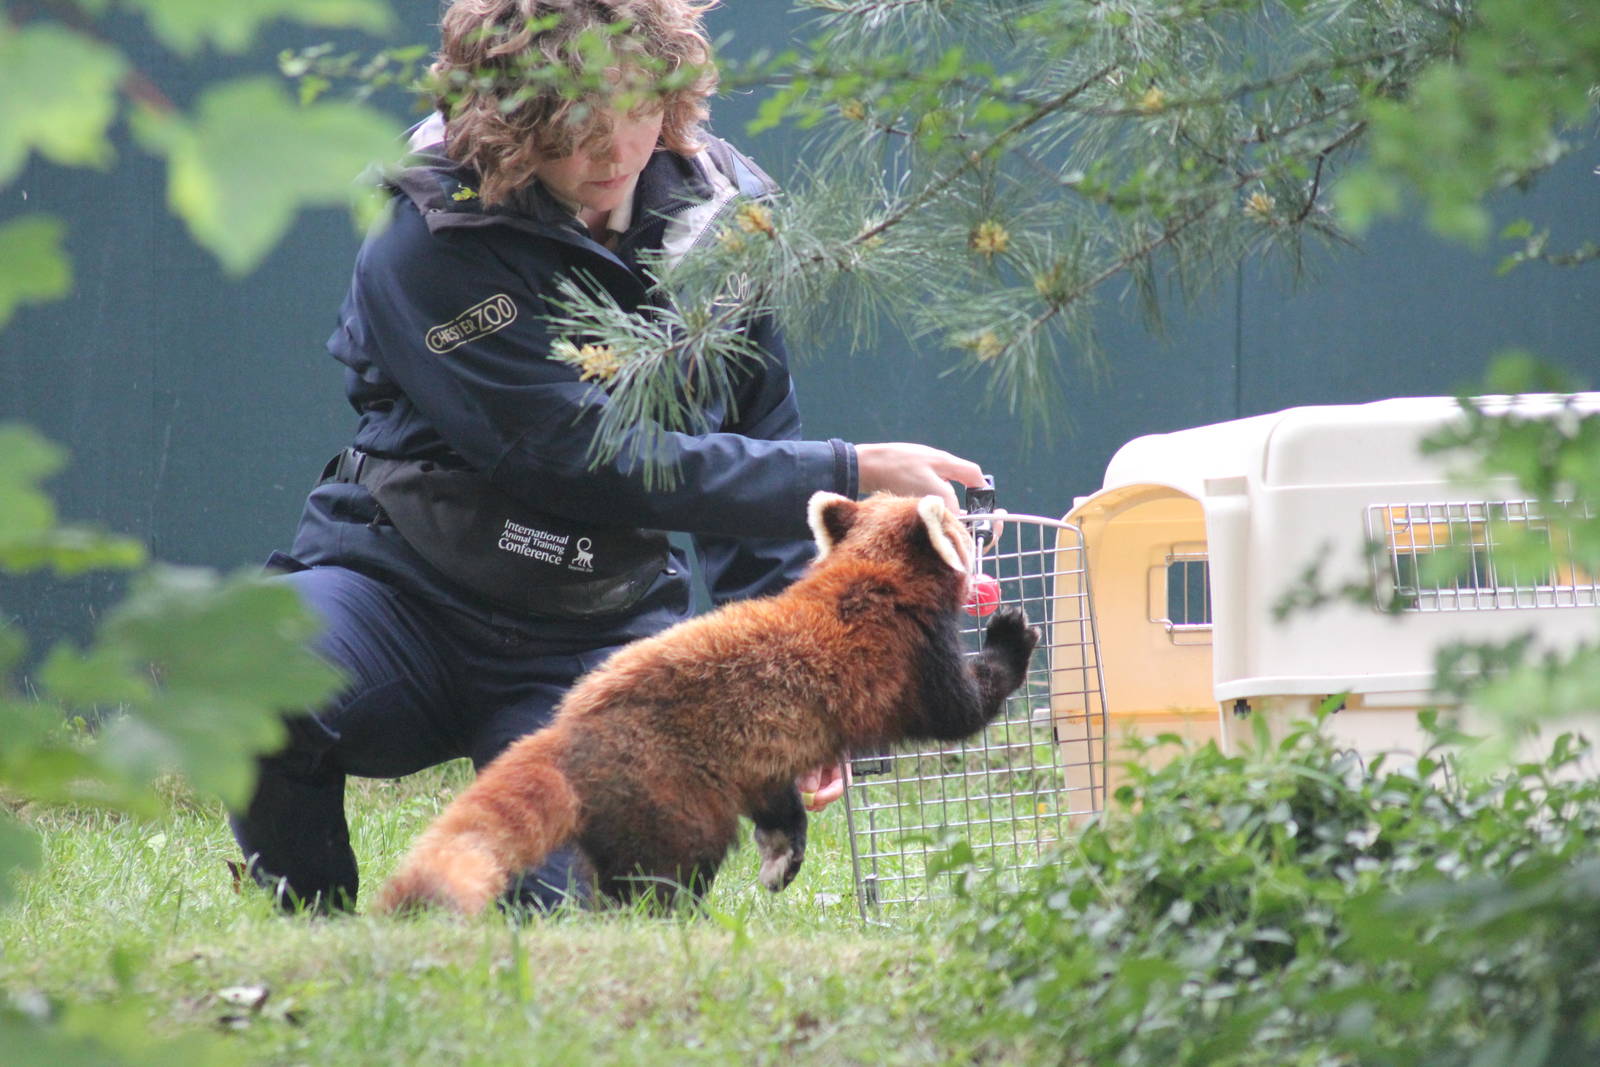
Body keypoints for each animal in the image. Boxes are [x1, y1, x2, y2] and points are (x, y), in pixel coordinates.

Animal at [376, 490, 1040, 916]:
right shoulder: (914, 657)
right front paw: (1011, 638)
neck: (870, 573)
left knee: (767, 808)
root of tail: (568, 731)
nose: (982, 528)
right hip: (669, 799)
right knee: (662, 877)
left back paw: (779, 855)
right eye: (961, 528)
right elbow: (960, 712)